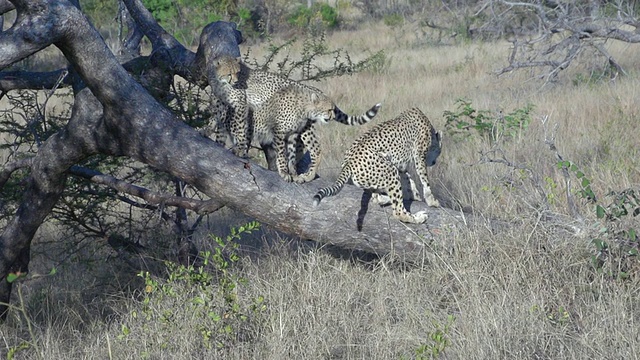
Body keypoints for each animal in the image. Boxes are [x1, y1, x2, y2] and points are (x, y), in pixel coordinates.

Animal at [210, 54, 380, 159]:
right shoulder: (222, 104)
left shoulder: (241, 106)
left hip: (304, 126)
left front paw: (240, 149)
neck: (221, 81)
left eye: (238, 72)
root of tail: (314, 89)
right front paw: (217, 142)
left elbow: (239, 128)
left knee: (311, 148)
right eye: (229, 73)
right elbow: (220, 125)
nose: (235, 81)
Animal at [251, 84, 380, 183]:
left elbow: (291, 156)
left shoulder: (293, 134)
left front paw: (294, 174)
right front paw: (284, 172)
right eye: (329, 109)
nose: (332, 117)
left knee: (315, 149)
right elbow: (282, 154)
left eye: (333, 109)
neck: (303, 107)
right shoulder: (279, 132)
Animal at [312, 108, 442, 224]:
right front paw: (431, 200)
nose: (434, 162)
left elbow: (408, 179)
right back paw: (419, 217)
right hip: (390, 170)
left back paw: (387, 198)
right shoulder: (419, 156)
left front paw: (414, 195)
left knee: (376, 198)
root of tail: (348, 163)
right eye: (439, 151)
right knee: (398, 211)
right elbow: (424, 180)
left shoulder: (400, 165)